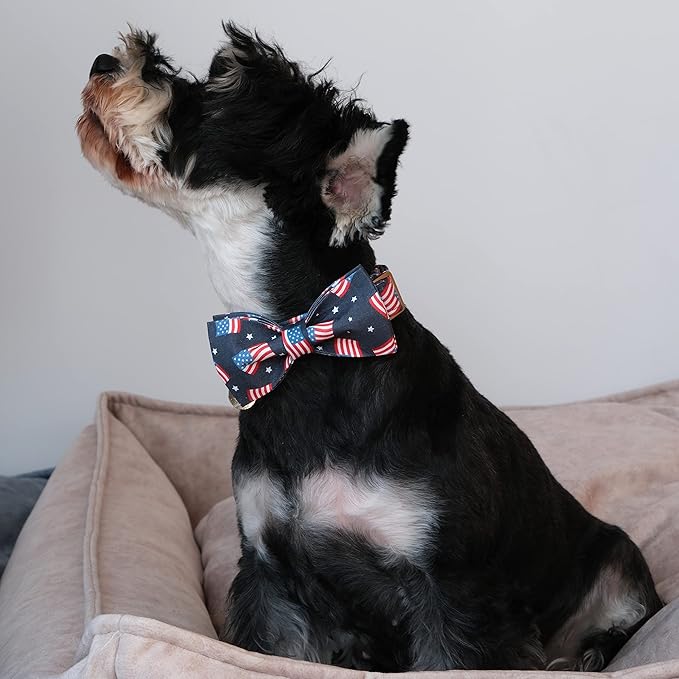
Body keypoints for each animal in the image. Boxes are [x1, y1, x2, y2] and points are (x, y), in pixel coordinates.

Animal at [77, 24, 663, 671]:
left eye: (217, 94)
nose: (103, 62)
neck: (305, 350)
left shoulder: (452, 592)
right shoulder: (270, 577)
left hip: (618, 561)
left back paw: (582, 655)